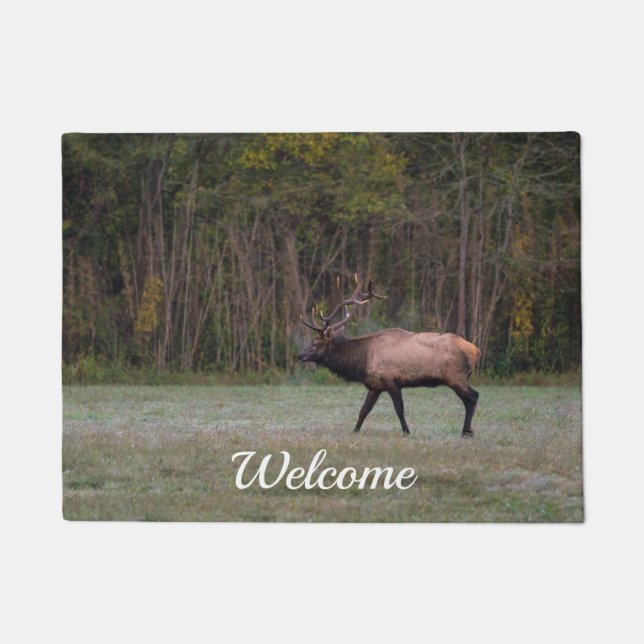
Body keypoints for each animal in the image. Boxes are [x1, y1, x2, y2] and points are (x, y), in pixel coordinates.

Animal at [297, 275, 481, 437]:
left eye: (315, 343)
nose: (299, 355)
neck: (363, 361)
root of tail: (475, 350)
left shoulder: (391, 380)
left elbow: (399, 409)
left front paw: (407, 431)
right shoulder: (375, 385)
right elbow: (363, 410)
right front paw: (355, 431)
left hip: (455, 376)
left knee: (473, 396)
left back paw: (467, 431)